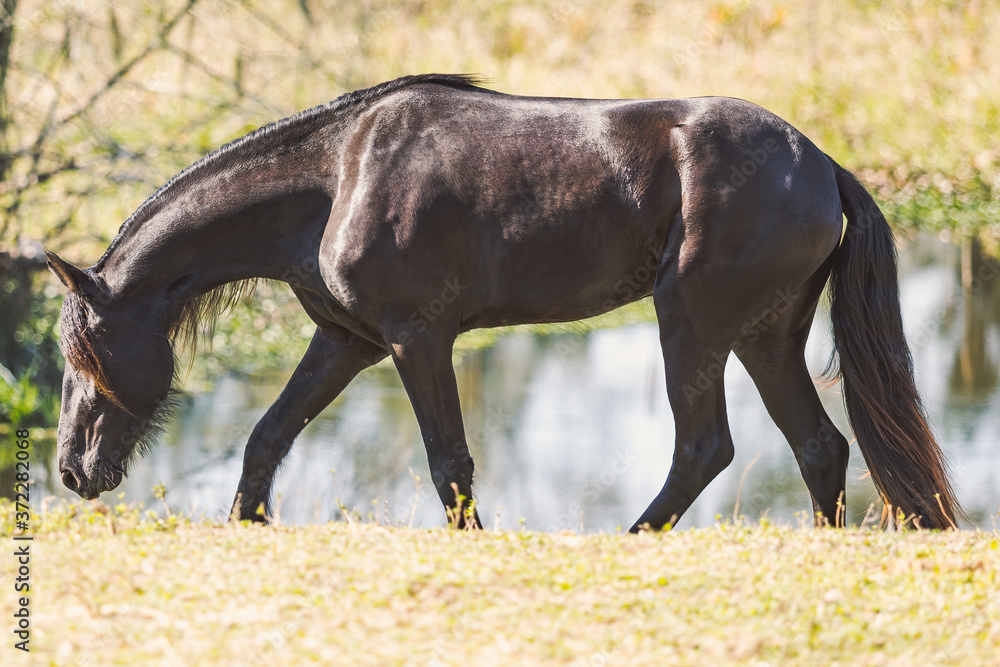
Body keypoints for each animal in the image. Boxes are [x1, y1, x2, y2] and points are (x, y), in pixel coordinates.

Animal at [47, 73, 961, 531]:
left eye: (80, 354)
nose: (72, 469)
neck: (339, 174)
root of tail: (823, 165)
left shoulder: (416, 339)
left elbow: (449, 464)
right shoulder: (346, 341)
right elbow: (267, 437)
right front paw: (249, 524)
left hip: (692, 326)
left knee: (706, 447)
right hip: (765, 337)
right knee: (819, 447)